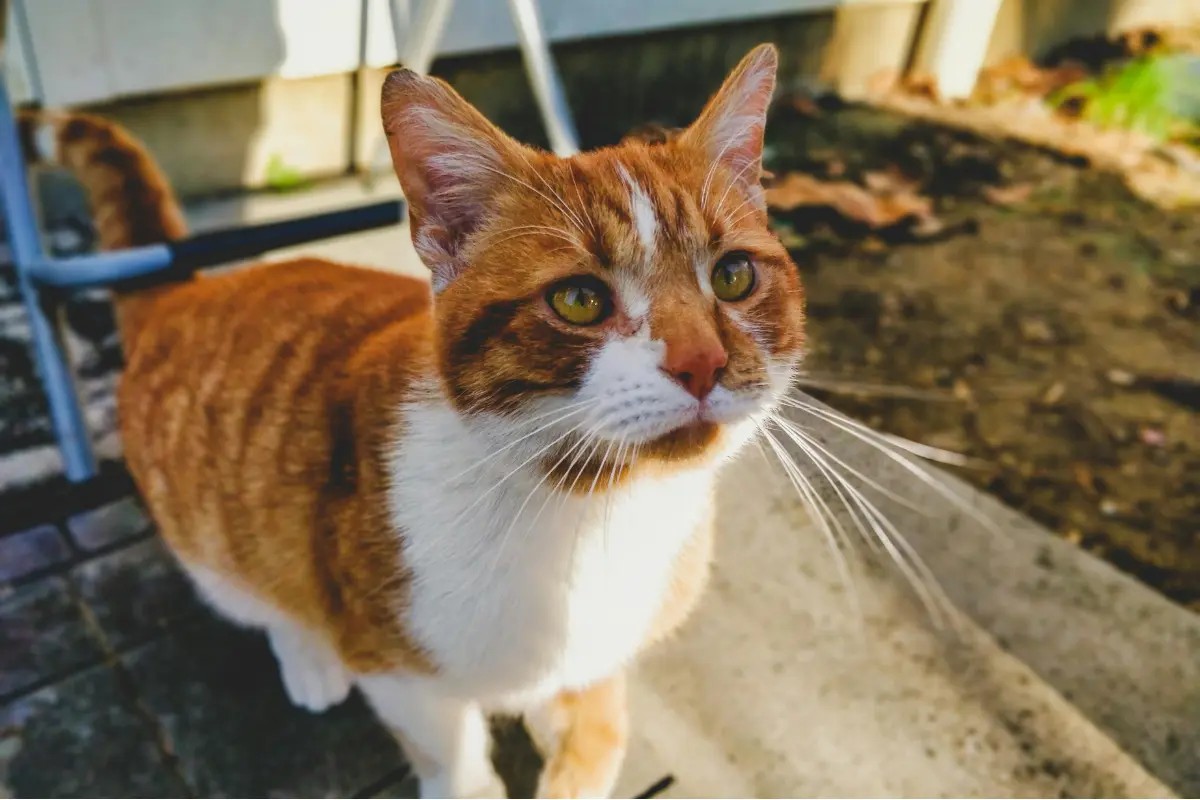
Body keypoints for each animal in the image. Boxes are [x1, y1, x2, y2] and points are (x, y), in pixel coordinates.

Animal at [23, 45, 806, 800]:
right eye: (580, 299)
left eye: (733, 276)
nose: (703, 361)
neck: (597, 510)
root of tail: (185, 292)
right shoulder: (393, 663)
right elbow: (452, 759)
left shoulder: (599, 653)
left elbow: (597, 720)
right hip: (215, 540)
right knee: (263, 598)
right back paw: (307, 659)